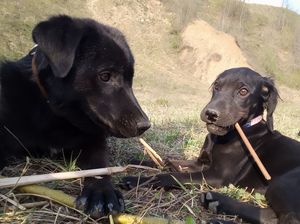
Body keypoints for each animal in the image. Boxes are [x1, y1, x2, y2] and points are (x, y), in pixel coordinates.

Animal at [0, 15, 150, 217]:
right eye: (105, 76)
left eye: (130, 79)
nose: (145, 125)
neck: (56, 113)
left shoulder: (93, 142)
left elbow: (99, 165)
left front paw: (101, 190)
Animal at [122, 68, 300, 224]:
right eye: (216, 86)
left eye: (243, 91)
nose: (211, 114)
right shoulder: (200, 162)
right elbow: (167, 162)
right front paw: (137, 162)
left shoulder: (217, 175)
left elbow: (171, 176)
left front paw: (138, 179)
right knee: (272, 217)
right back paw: (218, 203)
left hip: (281, 183)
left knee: (288, 219)